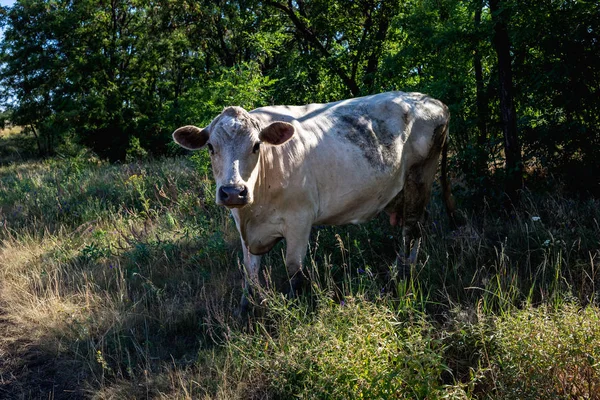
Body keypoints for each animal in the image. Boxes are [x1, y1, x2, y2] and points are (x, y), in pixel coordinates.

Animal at [173, 91, 454, 312]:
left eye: (256, 146)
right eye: (211, 147)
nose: (233, 191)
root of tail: (434, 101)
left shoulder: (300, 219)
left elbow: (294, 270)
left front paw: (294, 313)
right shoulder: (243, 227)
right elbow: (249, 273)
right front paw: (245, 312)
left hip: (420, 175)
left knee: (411, 230)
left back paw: (404, 276)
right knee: (416, 225)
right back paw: (398, 269)